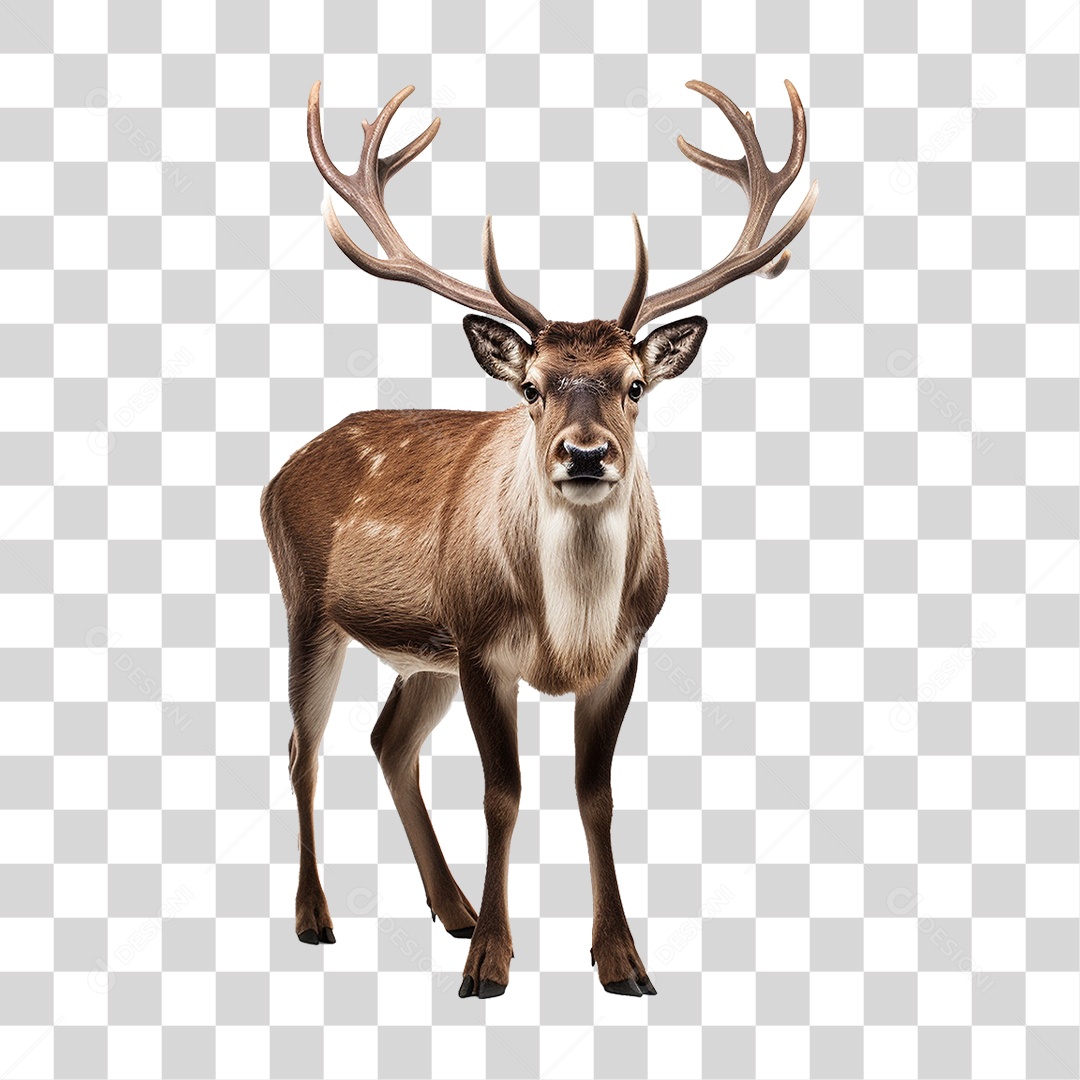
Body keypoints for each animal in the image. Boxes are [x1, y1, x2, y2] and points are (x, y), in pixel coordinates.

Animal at [260, 77, 817, 999]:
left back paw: (450, 908)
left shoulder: (623, 652)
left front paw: (622, 959)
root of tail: (278, 474)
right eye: (532, 387)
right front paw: (491, 962)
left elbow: (597, 794)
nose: (585, 454)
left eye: (634, 384)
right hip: (308, 605)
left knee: (388, 740)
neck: (570, 632)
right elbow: (503, 793)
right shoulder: (484, 644)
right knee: (306, 744)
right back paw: (316, 917)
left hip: (428, 654)